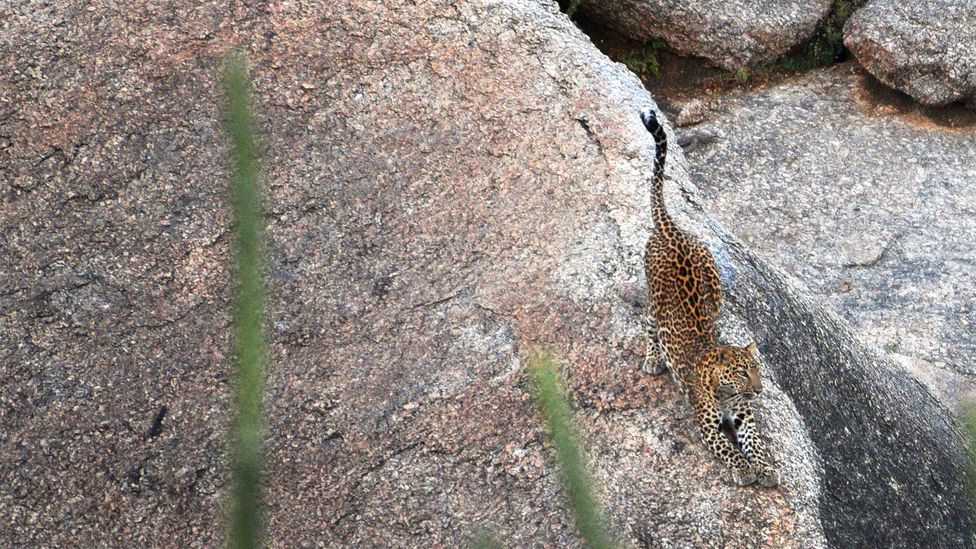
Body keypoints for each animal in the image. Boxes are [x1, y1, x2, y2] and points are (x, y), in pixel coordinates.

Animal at [640, 108, 776, 488]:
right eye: (743, 373)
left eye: (757, 370)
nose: (759, 391)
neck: (727, 391)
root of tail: (670, 228)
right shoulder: (709, 426)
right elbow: (730, 450)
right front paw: (744, 470)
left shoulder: (745, 419)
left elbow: (756, 445)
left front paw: (766, 469)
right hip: (654, 297)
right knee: (649, 326)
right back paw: (653, 358)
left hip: (714, 287)